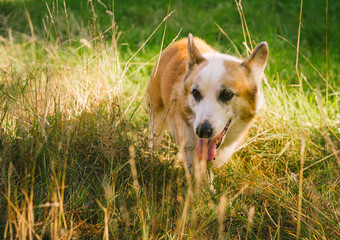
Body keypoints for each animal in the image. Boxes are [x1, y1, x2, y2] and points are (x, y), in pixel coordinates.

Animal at [146, 33, 268, 171]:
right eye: (195, 93)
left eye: (227, 94)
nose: (202, 131)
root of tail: (180, 41)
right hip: (156, 117)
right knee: (154, 140)